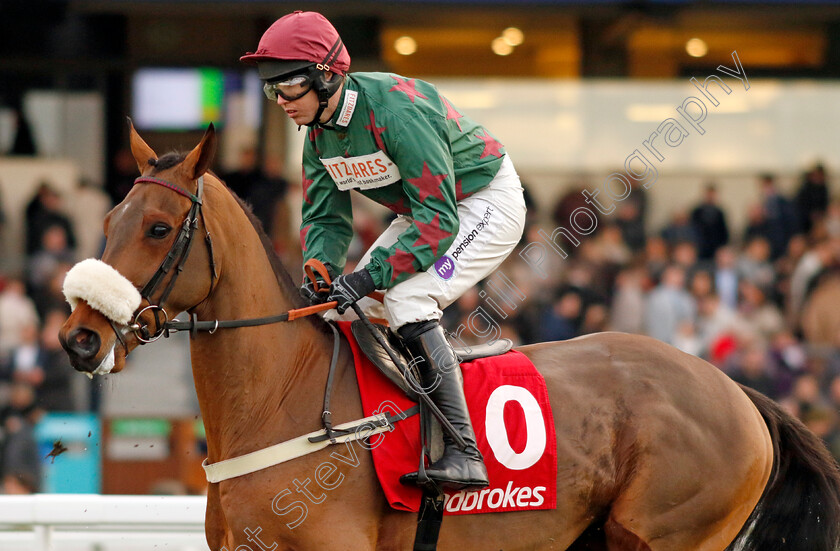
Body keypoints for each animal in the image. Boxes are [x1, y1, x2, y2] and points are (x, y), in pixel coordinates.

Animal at [60, 125, 840, 551]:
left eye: (159, 227)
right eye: (109, 220)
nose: (78, 338)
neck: (281, 399)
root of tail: (736, 389)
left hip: (670, 531)